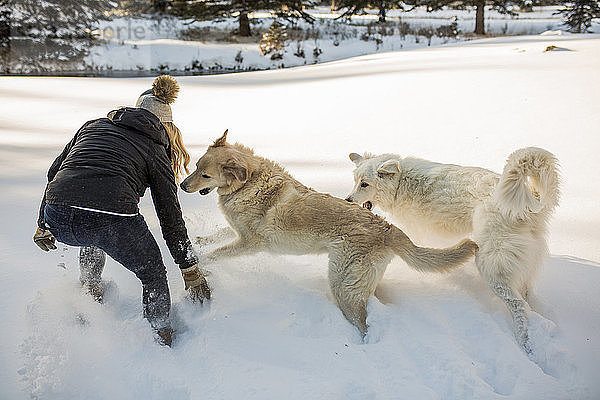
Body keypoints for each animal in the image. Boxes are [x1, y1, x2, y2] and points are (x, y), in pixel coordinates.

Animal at [344, 148, 560, 354]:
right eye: (355, 182)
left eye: (364, 184)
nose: (347, 200)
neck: (400, 183)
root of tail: (529, 203)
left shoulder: (419, 232)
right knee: (526, 296)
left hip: (491, 266)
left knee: (518, 306)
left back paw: (524, 344)